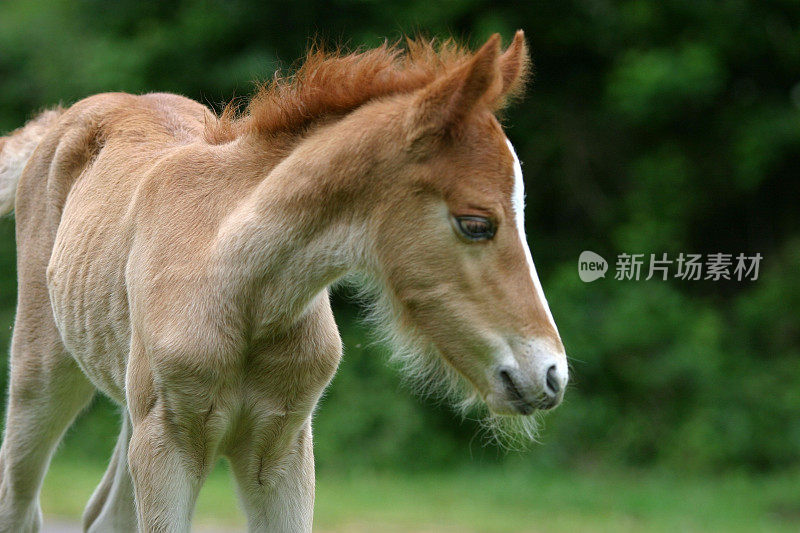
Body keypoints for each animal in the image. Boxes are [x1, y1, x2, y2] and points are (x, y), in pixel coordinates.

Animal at [0, 33, 568, 532]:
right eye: (476, 224)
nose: (551, 374)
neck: (241, 289)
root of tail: (63, 118)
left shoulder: (281, 451)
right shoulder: (167, 446)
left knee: (105, 514)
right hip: (43, 373)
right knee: (21, 504)